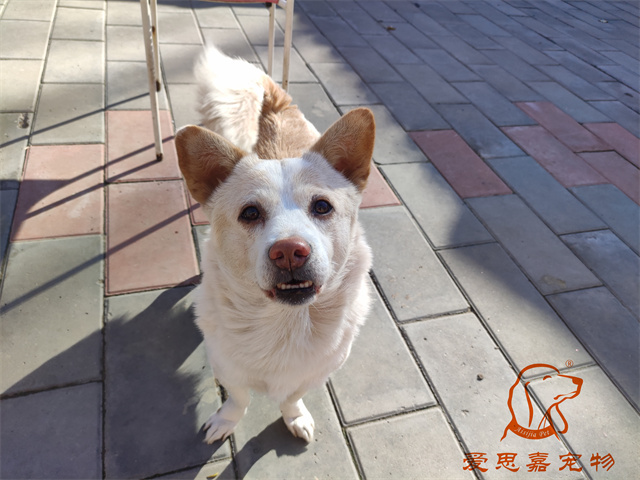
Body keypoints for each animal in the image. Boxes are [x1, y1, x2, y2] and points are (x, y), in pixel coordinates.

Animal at [174, 47, 375, 444]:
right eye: (250, 213)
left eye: (322, 206)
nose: (289, 251)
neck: (286, 325)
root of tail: (274, 102)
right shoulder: (226, 367)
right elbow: (238, 399)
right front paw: (225, 422)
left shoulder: (316, 372)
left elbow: (292, 397)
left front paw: (295, 417)